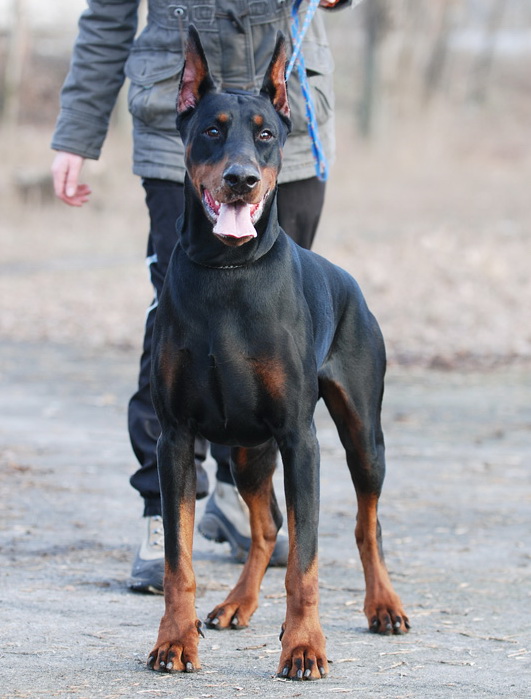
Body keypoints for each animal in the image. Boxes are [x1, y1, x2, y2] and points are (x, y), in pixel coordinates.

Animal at [148, 28, 410, 684]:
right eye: (212, 130)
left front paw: (304, 648)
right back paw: (236, 604)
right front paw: (174, 642)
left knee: (367, 523)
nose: (241, 178)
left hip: (361, 435)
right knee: (267, 526)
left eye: (266, 134)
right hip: (245, 448)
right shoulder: (175, 436)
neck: (227, 271)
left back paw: (384, 606)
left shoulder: (299, 437)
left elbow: (306, 564)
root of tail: (348, 281)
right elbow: (178, 558)